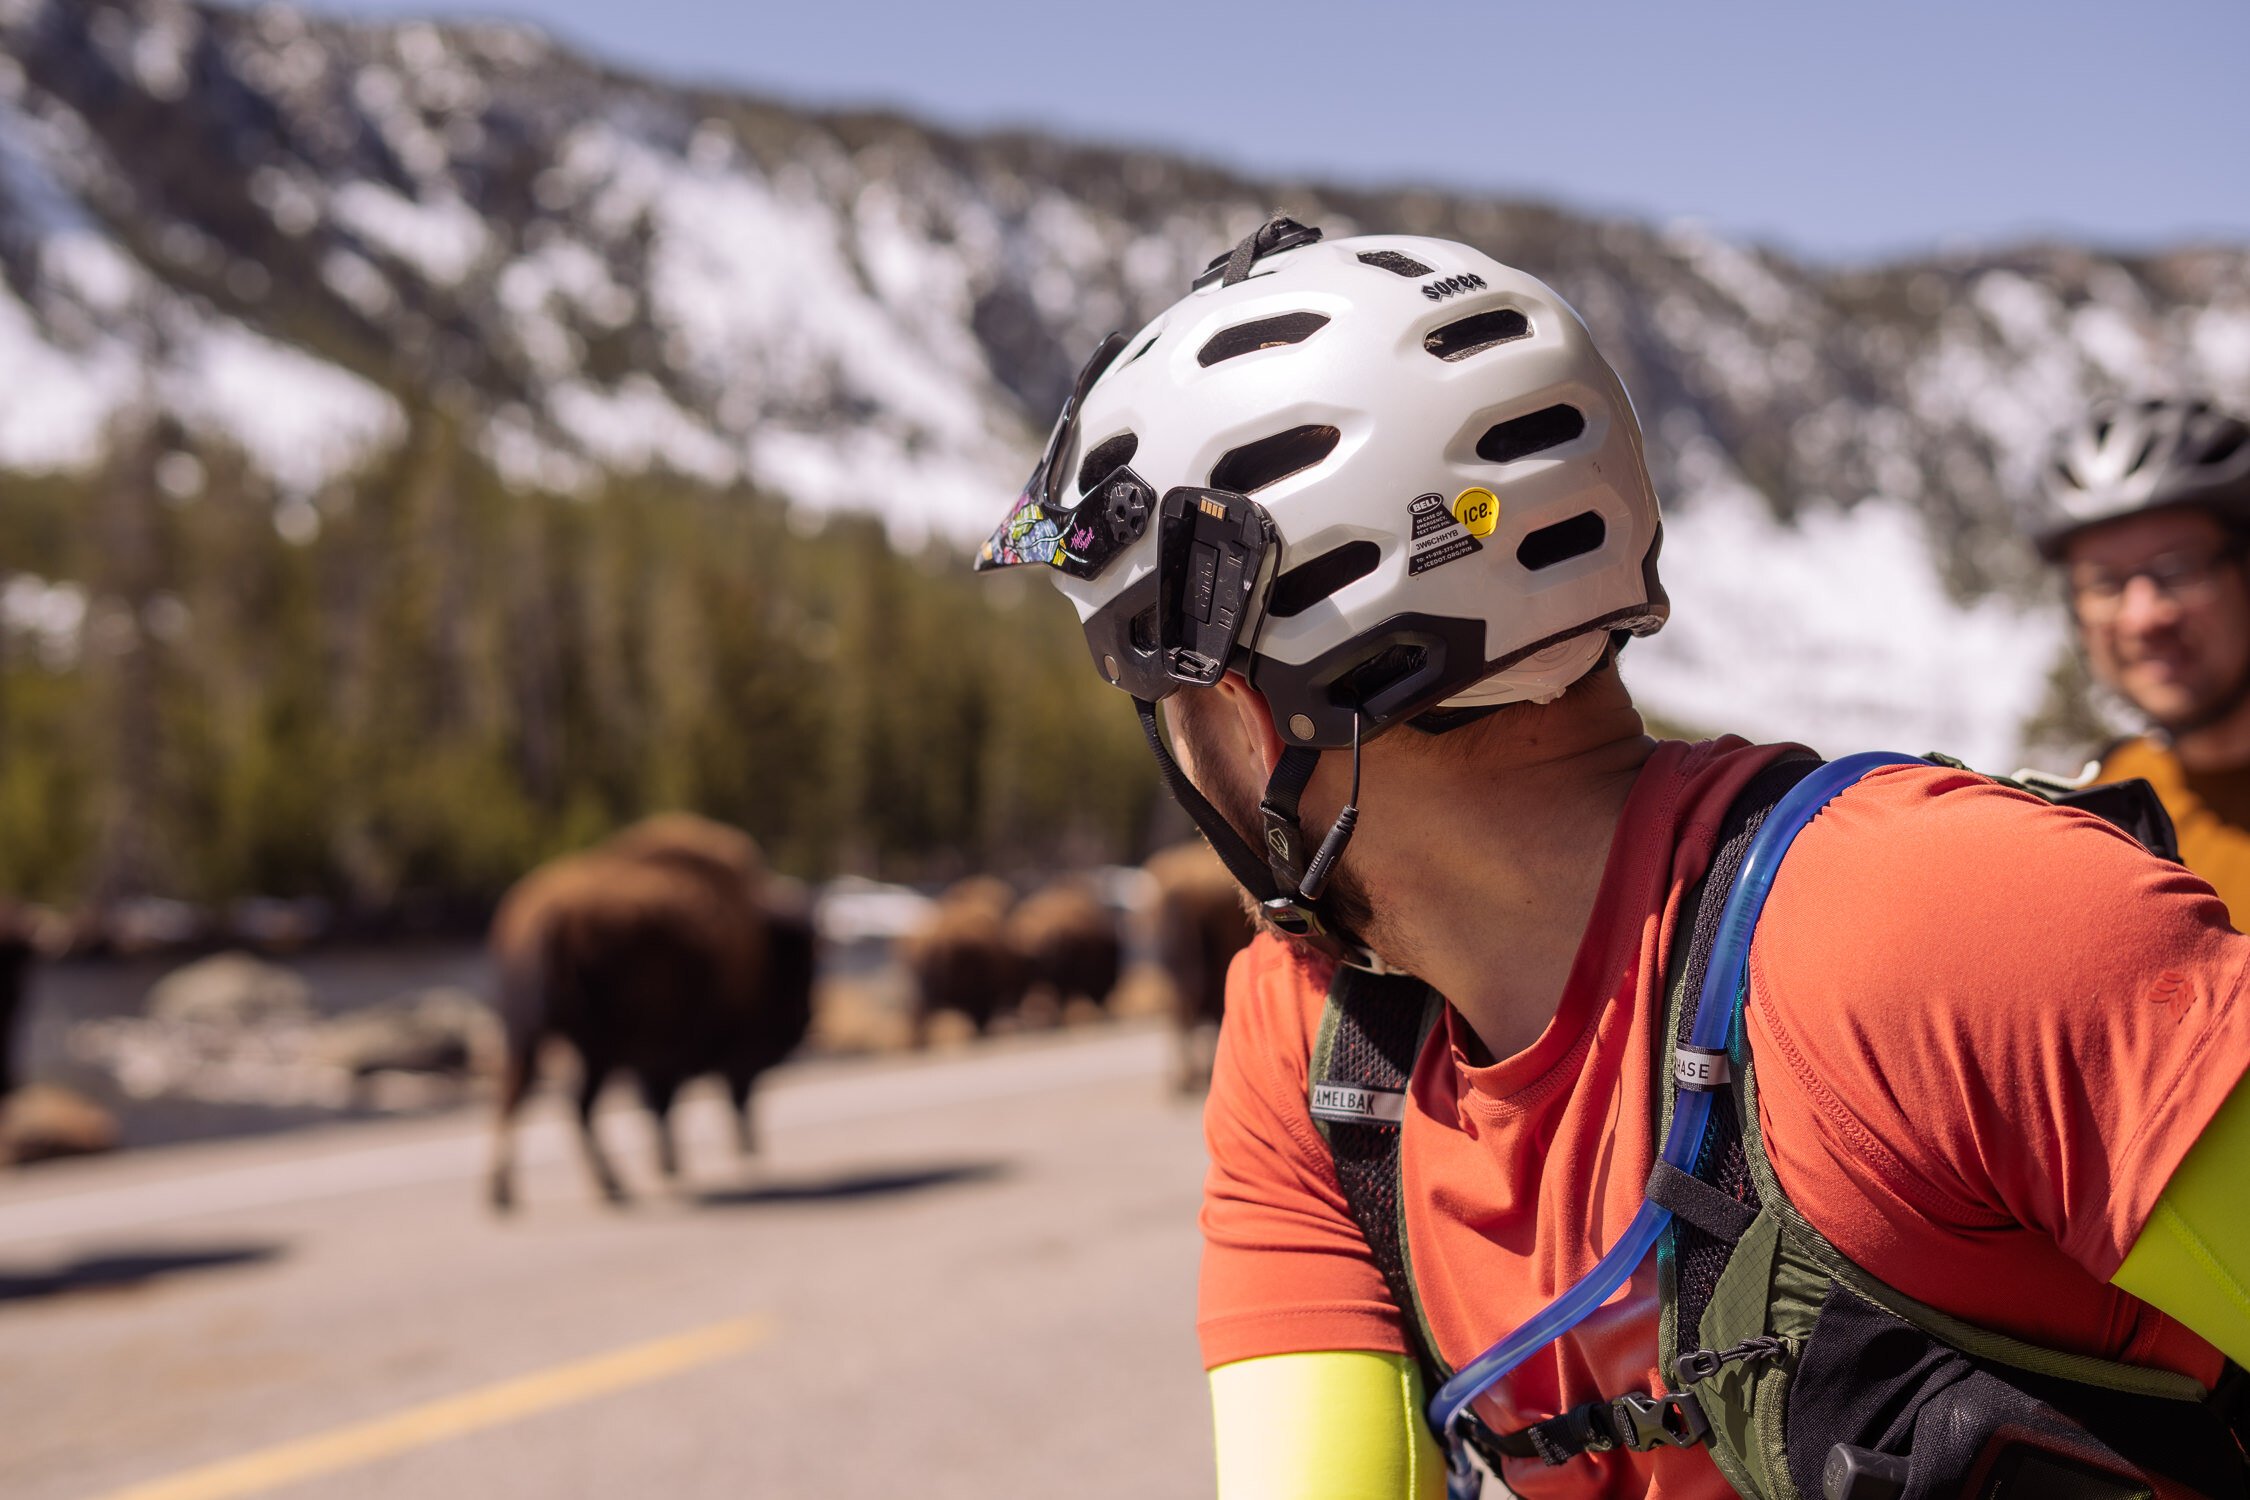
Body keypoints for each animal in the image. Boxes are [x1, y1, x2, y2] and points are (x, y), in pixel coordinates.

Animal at [483, 814, 819, 1214]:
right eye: (800, 972)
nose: (805, 1020)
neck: (757, 946)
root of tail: (550, 916)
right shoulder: (679, 1052)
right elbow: (669, 1102)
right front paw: (671, 1164)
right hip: (596, 1048)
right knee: (576, 1104)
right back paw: (613, 1185)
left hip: (528, 1035)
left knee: (517, 1097)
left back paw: (506, 1193)